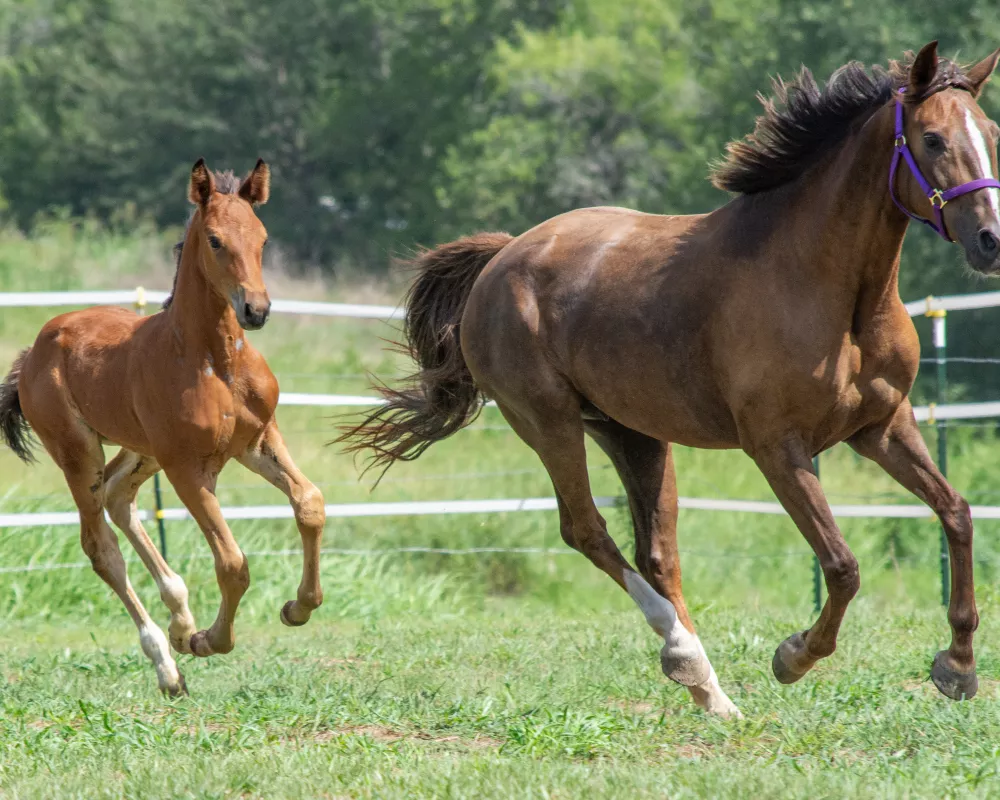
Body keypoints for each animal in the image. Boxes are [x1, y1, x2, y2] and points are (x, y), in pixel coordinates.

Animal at [0, 158, 324, 692]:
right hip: (79, 453)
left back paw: (179, 623)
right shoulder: (188, 469)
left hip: (141, 450)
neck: (214, 361)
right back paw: (168, 663)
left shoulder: (257, 440)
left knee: (118, 497)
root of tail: (34, 351)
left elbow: (309, 504)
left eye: (262, 237)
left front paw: (297, 607)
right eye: (215, 240)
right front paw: (210, 641)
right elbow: (232, 563)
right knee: (101, 547)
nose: (256, 310)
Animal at [344, 43, 1000, 720]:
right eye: (932, 138)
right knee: (588, 530)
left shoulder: (882, 427)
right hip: (548, 422)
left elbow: (957, 513)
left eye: (992, 134)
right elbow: (842, 565)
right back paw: (684, 654)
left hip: (633, 434)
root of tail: (502, 258)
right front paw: (793, 657)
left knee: (656, 552)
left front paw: (957, 668)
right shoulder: (778, 447)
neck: (834, 295)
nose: (990, 241)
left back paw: (711, 692)